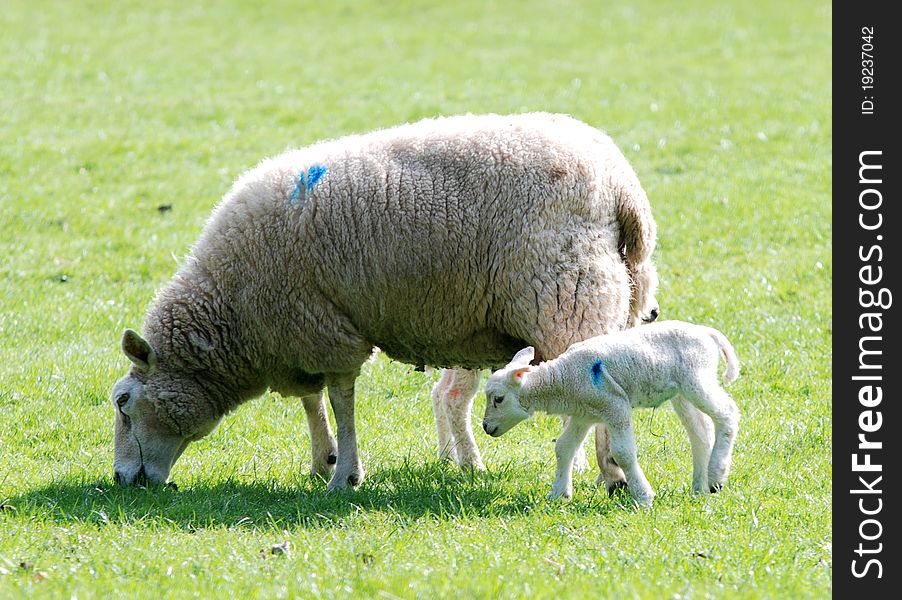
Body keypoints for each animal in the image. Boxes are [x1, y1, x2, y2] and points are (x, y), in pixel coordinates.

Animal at [484, 322, 740, 504]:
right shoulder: (584, 414)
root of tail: (707, 332)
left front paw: (643, 496)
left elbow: (623, 453)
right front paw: (559, 494)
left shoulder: (615, 405)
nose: (486, 427)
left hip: (696, 379)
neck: (563, 379)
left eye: (499, 399)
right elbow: (564, 447)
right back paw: (700, 488)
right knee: (700, 433)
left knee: (728, 413)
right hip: (681, 392)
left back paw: (716, 475)